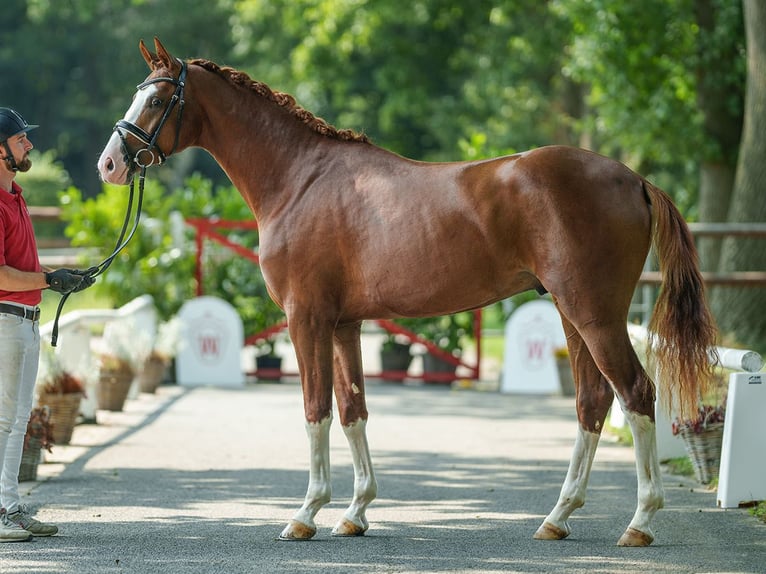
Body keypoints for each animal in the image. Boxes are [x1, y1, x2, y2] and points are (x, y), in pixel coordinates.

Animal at [97, 39, 720, 548]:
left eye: (158, 99)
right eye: (136, 94)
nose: (109, 165)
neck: (299, 179)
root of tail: (634, 179)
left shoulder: (306, 319)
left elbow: (315, 409)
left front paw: (305, 515)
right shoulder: (344, 324)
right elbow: (353, 409)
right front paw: (355, 513)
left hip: (595, 316)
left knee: (637, 394)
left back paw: (639, 523)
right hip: (574, 316)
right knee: (592, 402)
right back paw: (557, 518)